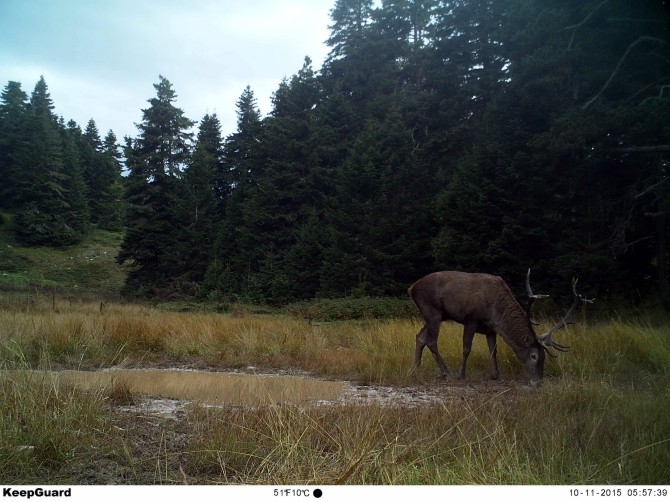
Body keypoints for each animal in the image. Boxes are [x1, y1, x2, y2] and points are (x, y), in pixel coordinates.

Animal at [410, 270, 592, 384]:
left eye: (544, 357)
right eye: (534, 356)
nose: (538, 382)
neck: (495, 312)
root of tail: (411, 288)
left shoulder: (490, 329)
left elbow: (493, 350)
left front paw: (496, 375)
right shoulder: (470, 319)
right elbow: (467, 348)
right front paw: (462, 375)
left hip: (436, 315)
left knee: (420, 337)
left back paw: (416, 369)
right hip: (433, 311)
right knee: (431, 341)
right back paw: (446, 372)